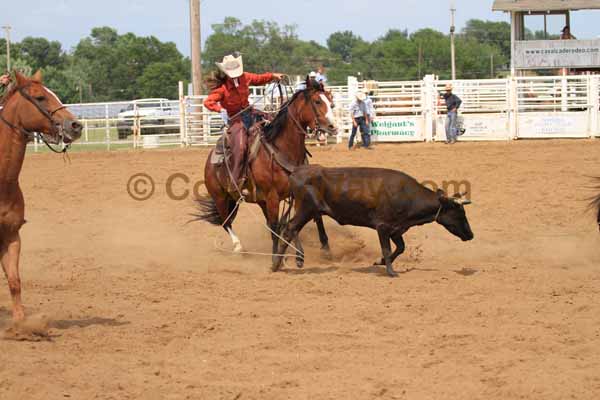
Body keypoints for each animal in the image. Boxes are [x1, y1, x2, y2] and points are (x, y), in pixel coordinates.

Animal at [198, 80, 336, 268]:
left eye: (330, 100)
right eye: (317, 101)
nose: (333, 127)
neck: (283, 149)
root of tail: (211, 157)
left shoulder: (298, 192)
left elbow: (308, 217)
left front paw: (324, 248)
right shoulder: (272, 196)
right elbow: (277, 225)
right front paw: (277, 258)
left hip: (259, 200)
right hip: (221, 197)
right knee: (226, 222)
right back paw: (239, 247)